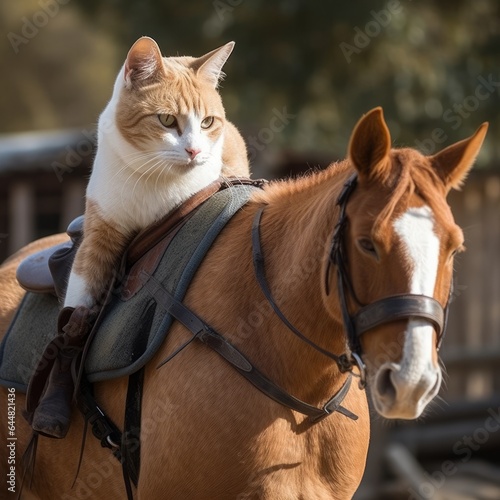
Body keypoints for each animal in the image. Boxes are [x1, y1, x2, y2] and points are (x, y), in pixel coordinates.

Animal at [63, 37, 249, 308]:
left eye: (207, 122)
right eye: (167, 120)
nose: (194, 150)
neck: (153, 176)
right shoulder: (100, 230)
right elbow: (78, 293)